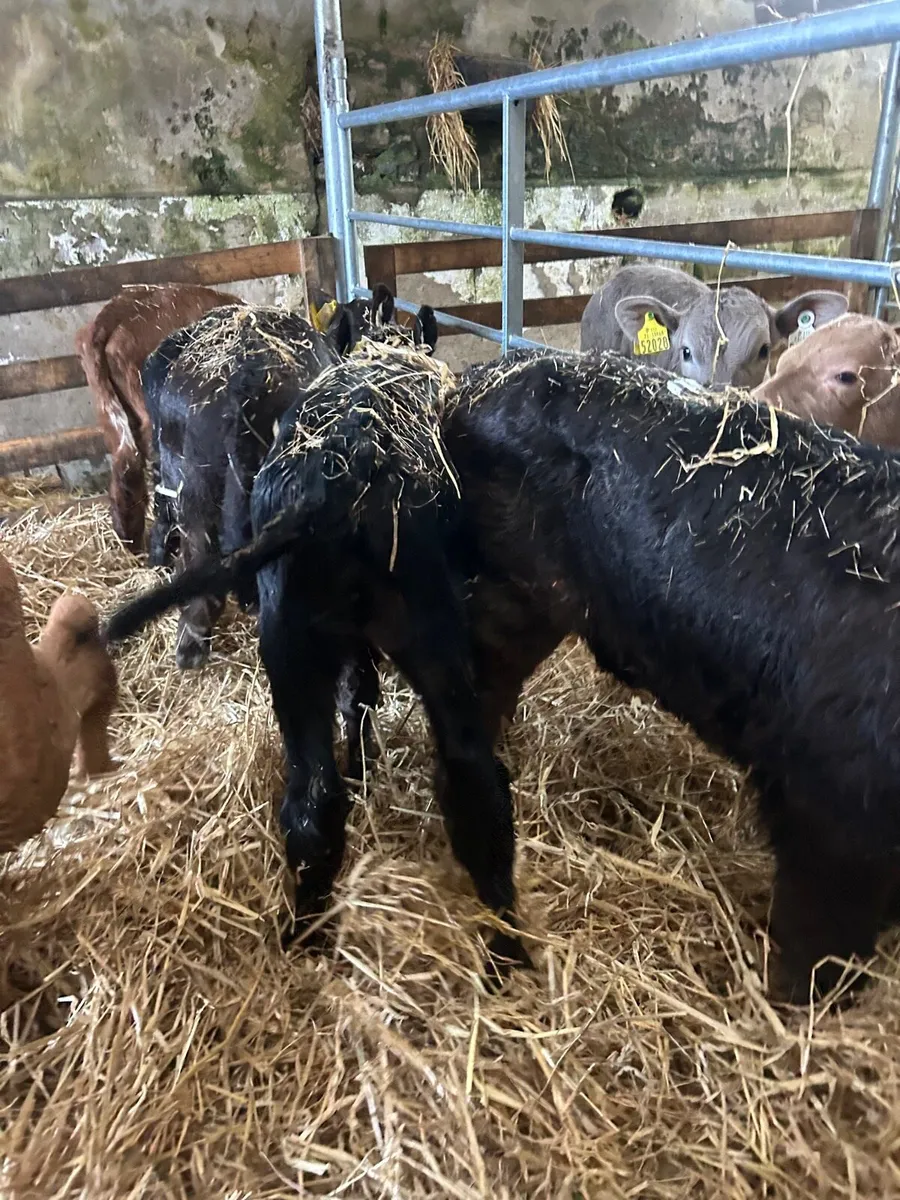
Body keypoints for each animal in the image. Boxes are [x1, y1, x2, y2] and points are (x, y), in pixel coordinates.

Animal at [103, 327, 529, 988]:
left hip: (295, 646)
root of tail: (336, 485)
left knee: (333, 798)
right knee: (452, 781)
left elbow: (358, 700)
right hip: (420, 637)